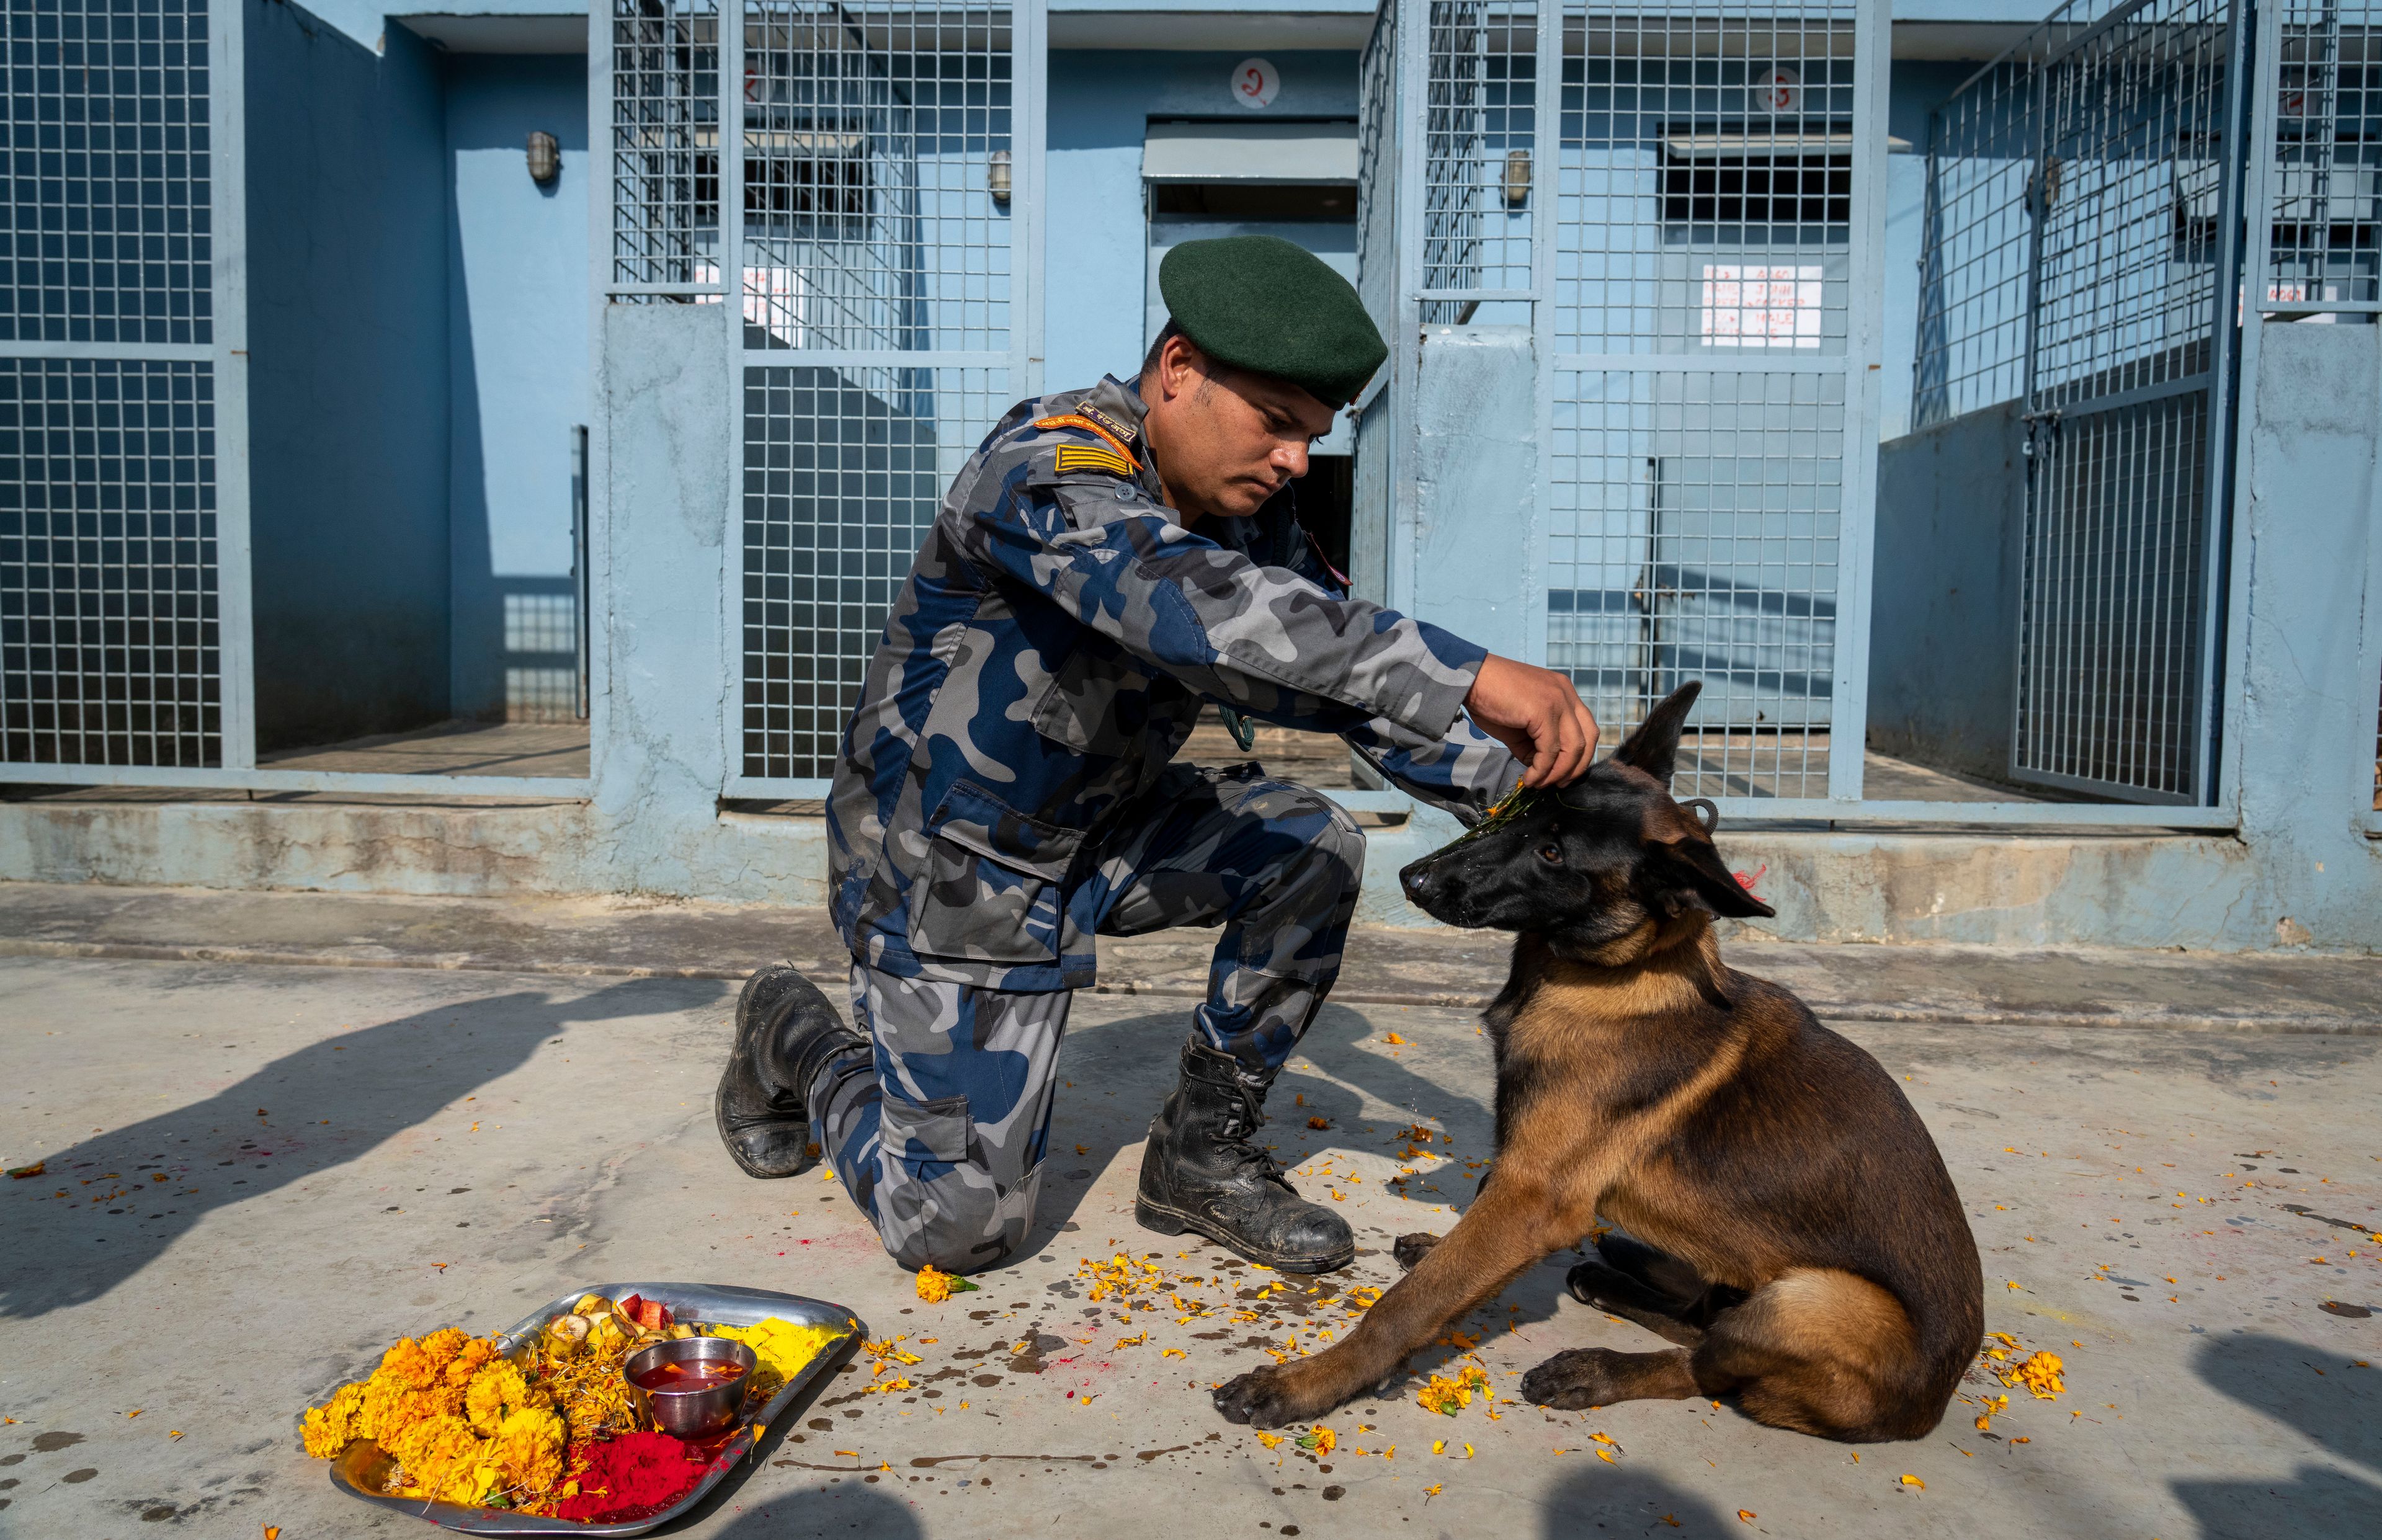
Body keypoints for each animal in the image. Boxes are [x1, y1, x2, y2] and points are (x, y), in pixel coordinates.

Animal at [1220, 685, 1981, 1447]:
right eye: (1521, 805)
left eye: (1554, 853)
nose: (1414, 877)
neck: (1610, 974)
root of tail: (1926, 1409)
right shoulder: (1524, 1173)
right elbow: (1462, 1248)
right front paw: (1442, 1246)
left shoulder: (1534, 1194)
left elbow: (1411, 1303)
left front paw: (1308, 1381)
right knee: (1704, 1316)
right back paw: (1617, 1269)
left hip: (1809, 1299)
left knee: (1709, 1364)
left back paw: (1594, 1366)